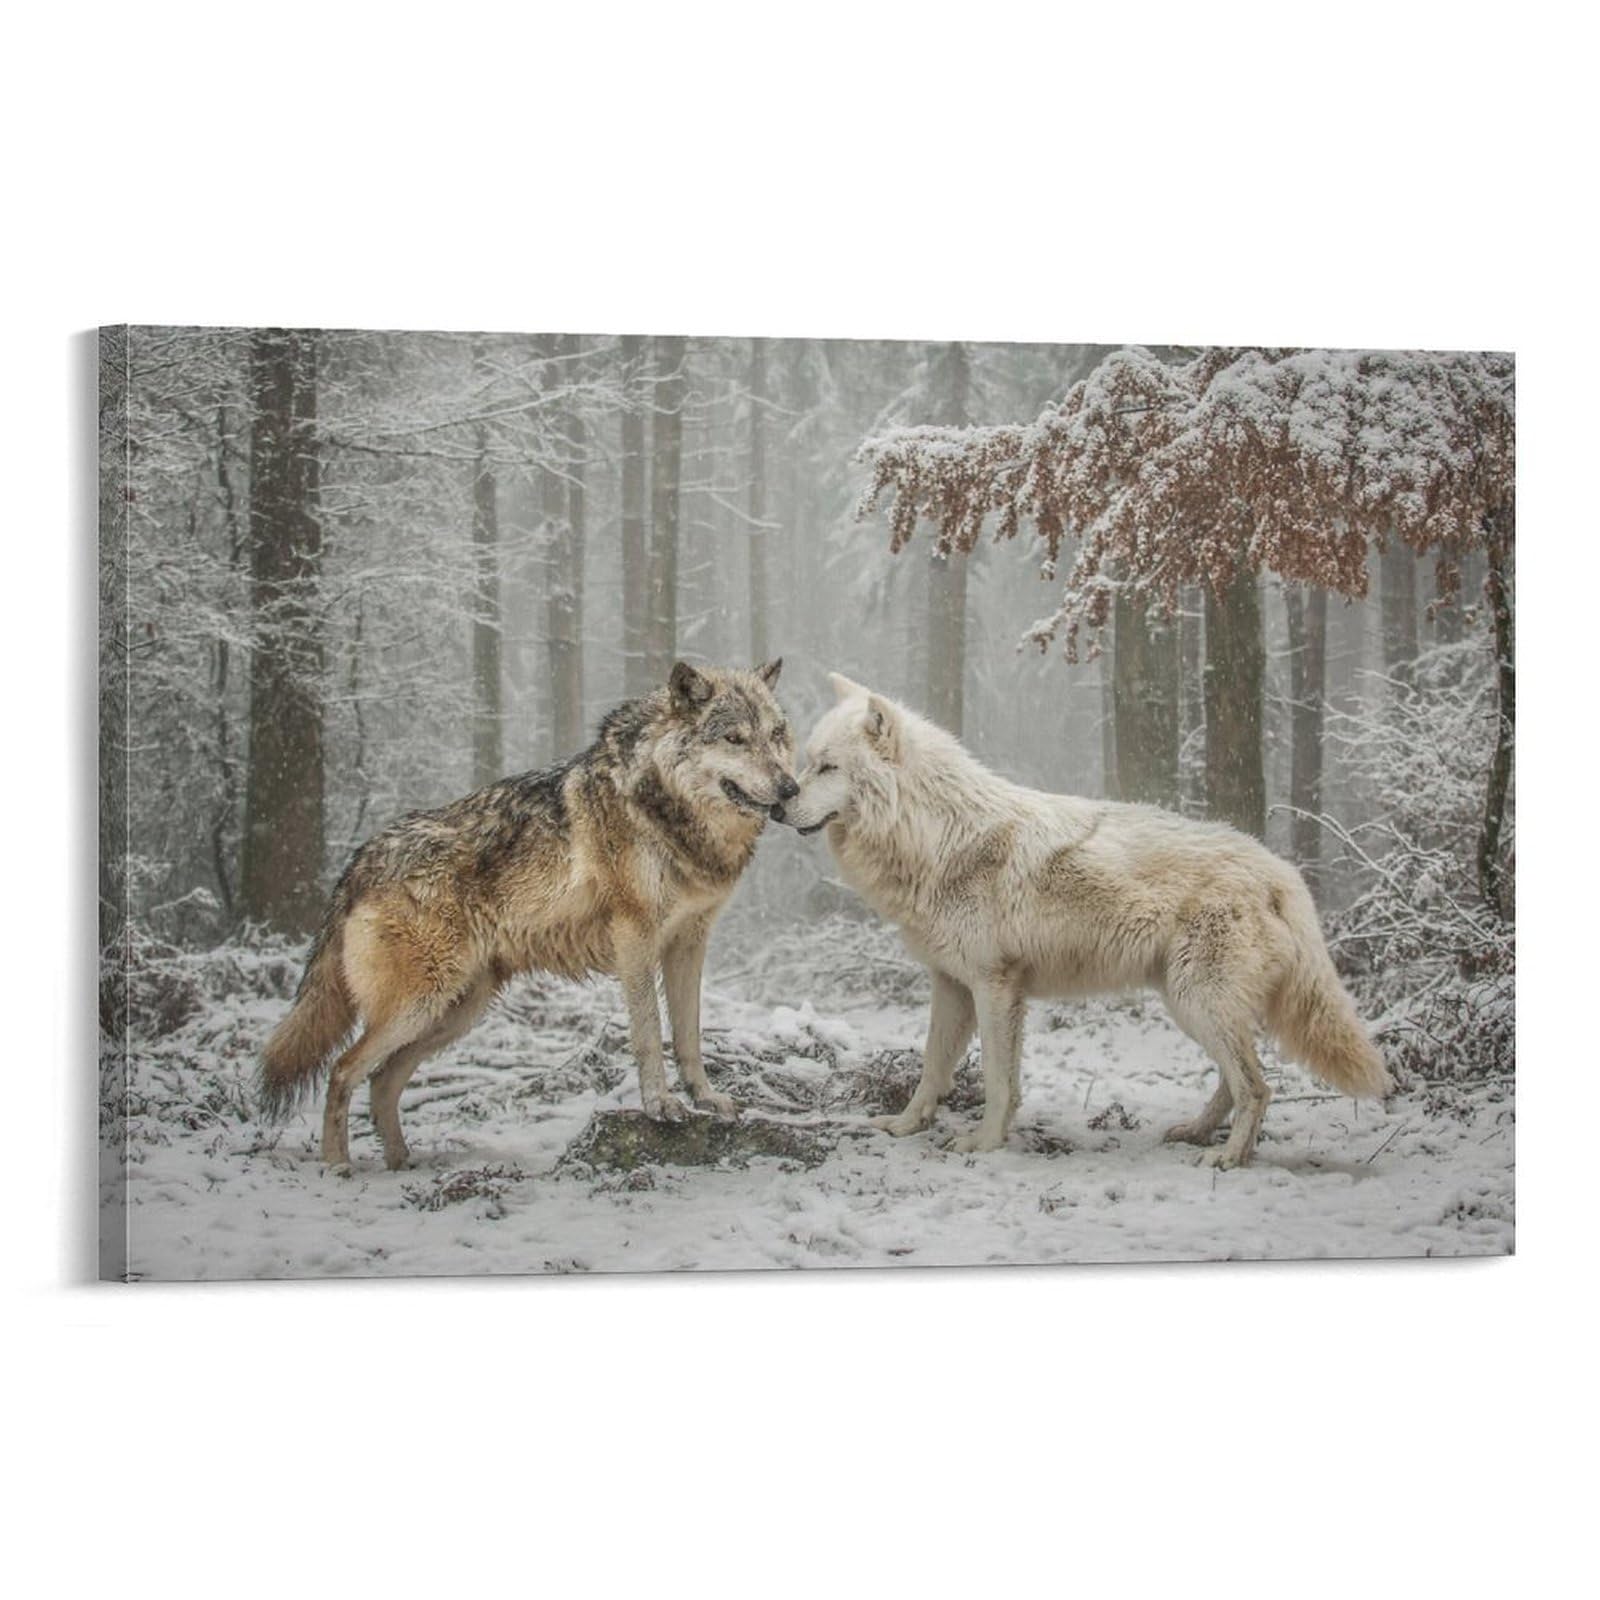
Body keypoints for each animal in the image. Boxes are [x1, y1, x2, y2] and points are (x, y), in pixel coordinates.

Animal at [259, 660, 798, 1172]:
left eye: (776, 734)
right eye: (734, 738)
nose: (791, 787)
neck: (665, 808)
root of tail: (361, 858)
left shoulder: (690, 941)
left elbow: (689, 1035)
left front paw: (705, 1097)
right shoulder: (635, 939)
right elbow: (648, 1033)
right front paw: (660, 1105)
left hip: (455, 1012)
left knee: (381, 1079)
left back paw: (400, 1163)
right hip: (422, 1004)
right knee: (342, 1070)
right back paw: (338, 1166)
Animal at [772, 673, 1391, 1166]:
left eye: (826, 767)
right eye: (808, 761)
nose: (778, 804)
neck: (937, 836)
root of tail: (1281, 873)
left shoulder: (995, 986)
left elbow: (998, 1080)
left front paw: (985, 1144)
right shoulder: (951, 983)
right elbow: (932, 1066)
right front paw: (906, 1125)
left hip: (1198, 1002)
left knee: (1259, 1087)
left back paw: (1227, 1157)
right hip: (1191, 1005)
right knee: (1236, 1079)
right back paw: (1197, 1132)